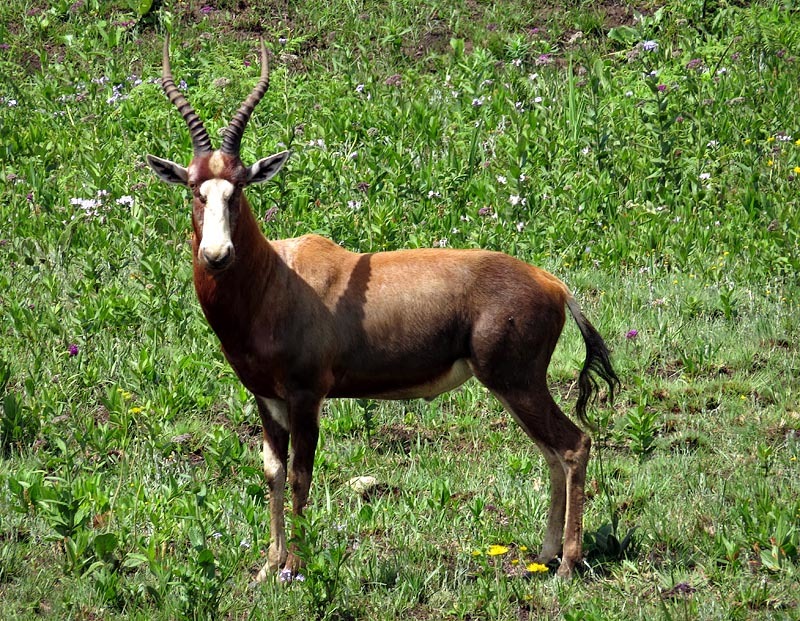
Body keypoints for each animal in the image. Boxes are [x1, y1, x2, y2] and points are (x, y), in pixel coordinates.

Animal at [145, 35, 620, 580]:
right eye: (194, 187)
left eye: (239, 186)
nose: (217, 254)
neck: (280, 277)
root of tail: (555, 285)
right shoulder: (267, 399)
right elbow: (272, 473)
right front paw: (269, 568)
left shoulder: (307, 396)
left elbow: (301, 476)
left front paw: (297, 570)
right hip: (513, 386)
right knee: (552, 453)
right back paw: (543, 556)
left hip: (516, 381)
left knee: (573, 444)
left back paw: (566, 565)